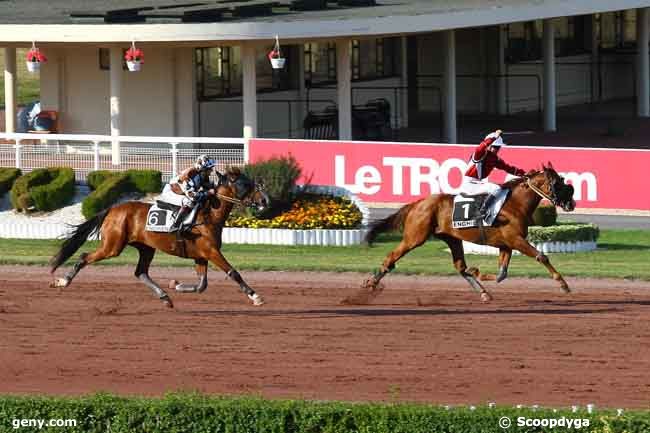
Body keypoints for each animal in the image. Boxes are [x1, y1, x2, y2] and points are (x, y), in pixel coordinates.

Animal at [49, 168, 268, 308]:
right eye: (245, 183)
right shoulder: (211, 251)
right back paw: (63, 281)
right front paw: (256, 297)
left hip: (146, 247)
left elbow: (201, 285)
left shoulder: (201, 255)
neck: (207, 215)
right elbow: (233, 273)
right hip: (112, 246)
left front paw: (176, 285)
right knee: (84, 256)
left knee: (140, 272)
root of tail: (112, 209)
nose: (265, 200)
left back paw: (165, 296)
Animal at [356, 162, 576, 300]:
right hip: (415, 237)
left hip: (452, 238)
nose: (571, 203)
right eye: (556, 183)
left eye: (562, 180)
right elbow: (541, 256)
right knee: (391, 257)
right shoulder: (515, 239)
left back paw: (483, 292)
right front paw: (563, 284)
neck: (514, 204)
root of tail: (417, 204)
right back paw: (371, 284)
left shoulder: (506, 244)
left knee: (460, 267)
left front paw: (478, 272)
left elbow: (502, 274)